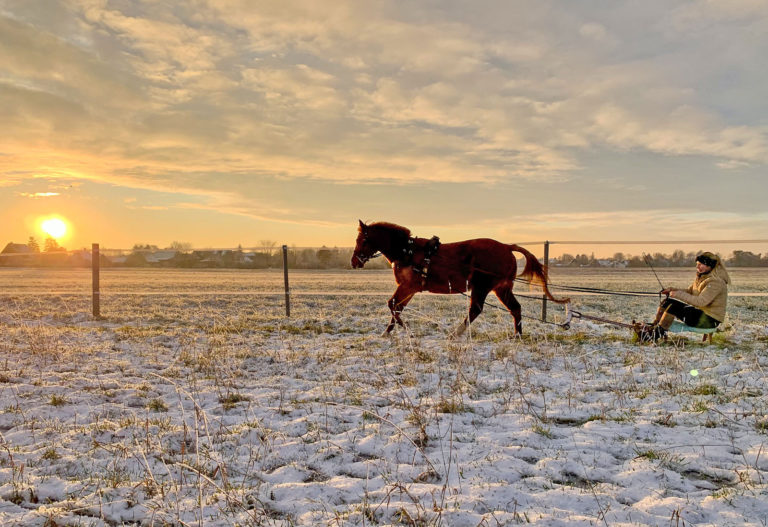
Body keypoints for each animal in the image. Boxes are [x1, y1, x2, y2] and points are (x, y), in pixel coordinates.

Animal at [352, 221, 568, 336]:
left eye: (362, 240)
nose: (354, 261)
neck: (407, 251)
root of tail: (507, 247)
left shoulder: (408, 286)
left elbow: (393, 304)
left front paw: (406, 331)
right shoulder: (409, 288)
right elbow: (397, 307)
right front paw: (388, 332)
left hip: (482, 286)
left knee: (476, 310)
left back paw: (456, 333)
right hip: (502, 288)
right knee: (515, 308)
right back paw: (517, 336)